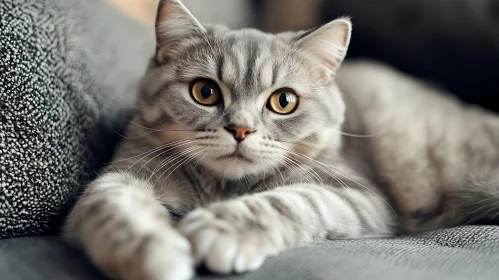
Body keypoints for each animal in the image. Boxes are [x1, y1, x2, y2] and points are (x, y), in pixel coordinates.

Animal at [65, 0, 499, 280]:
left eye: (283, 101)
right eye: (205, 92)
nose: (240, 129)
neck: (223, 187)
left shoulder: (359, 196)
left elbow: (289, 200)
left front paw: (222, 228)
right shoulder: (127, 171)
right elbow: (112, 204)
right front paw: (153, 253)